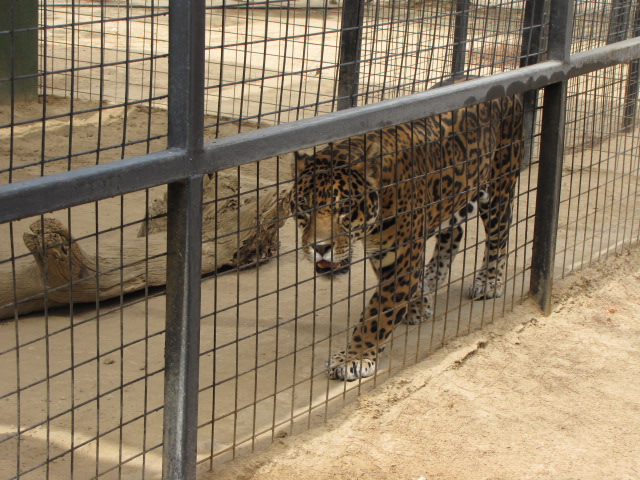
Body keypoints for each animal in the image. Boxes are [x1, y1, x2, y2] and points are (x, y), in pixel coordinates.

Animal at [290, 82, 524, 381]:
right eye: (303, 208)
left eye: (345, 208)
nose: (320, 247)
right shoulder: (384, 254)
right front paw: (418, 304)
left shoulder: (401, 256)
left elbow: (377, 314)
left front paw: (354, 357)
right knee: (454, 234)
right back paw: (431, 278)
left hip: (498, 186)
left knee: (499, 235)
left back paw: (489, 282)